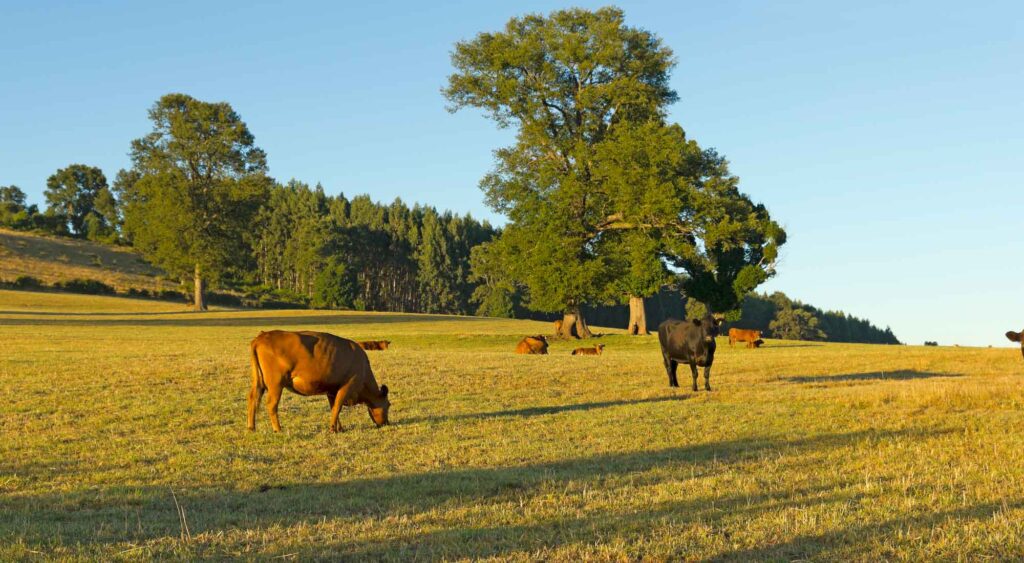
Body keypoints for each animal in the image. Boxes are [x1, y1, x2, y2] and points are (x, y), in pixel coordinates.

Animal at [249, 329, 389, 434]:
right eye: (388, 405)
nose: (386, 423)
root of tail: (262, 336)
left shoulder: (332, 391)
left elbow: (334, 408)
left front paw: (339, 428)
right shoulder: (347, 386)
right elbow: (337, 407)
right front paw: (333, 429)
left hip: (258, 382)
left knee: (253, 399)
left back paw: (251, 427)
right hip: (276, 385)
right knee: (272, 404)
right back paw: (278, 429)